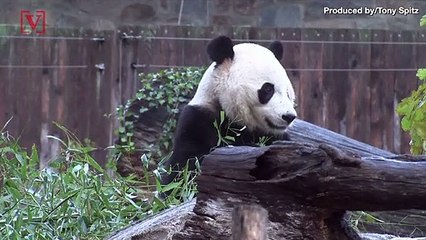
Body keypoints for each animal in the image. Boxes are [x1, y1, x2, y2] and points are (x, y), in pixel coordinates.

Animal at [161, 35, 298, 186]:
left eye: (288, 92)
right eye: (268, 89)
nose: (289, 116)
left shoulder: (275, 136)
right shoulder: (198, 121)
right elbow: (190, 166)